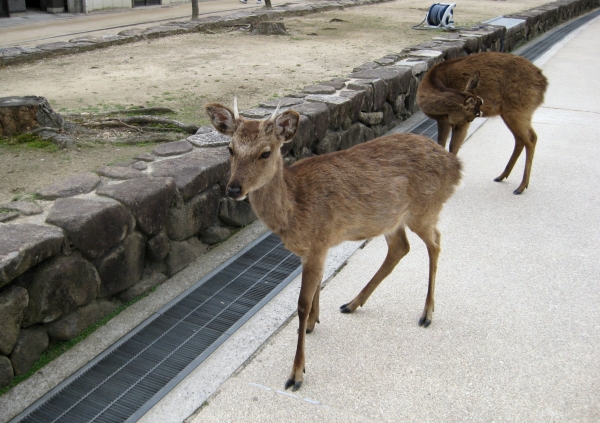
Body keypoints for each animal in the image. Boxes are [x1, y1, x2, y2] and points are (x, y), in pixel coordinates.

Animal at [204, 98, 462, 390]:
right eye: (230, 149)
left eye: (265, 153)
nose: (233, 189)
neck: (294, 207)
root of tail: (456, 166)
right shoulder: (318, 246)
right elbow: (317, 286)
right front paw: (313, 323)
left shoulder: (317, 242)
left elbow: (301, 304)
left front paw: (296, 373)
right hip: (389, 219)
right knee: (401, 247)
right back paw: (352, 303)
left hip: (425, 209)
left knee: (436, 243)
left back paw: (427, 314)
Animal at [418, 51, 548, 195]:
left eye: (471, 117)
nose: (479, 113)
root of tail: (544, 84)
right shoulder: (443, 120)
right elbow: (441, 144)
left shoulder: (456, 122)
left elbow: (453, 147)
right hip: (509, 112)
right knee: (521, 139)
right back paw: (502, 176)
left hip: (519, 108)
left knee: (530, 139)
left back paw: (521, 187)